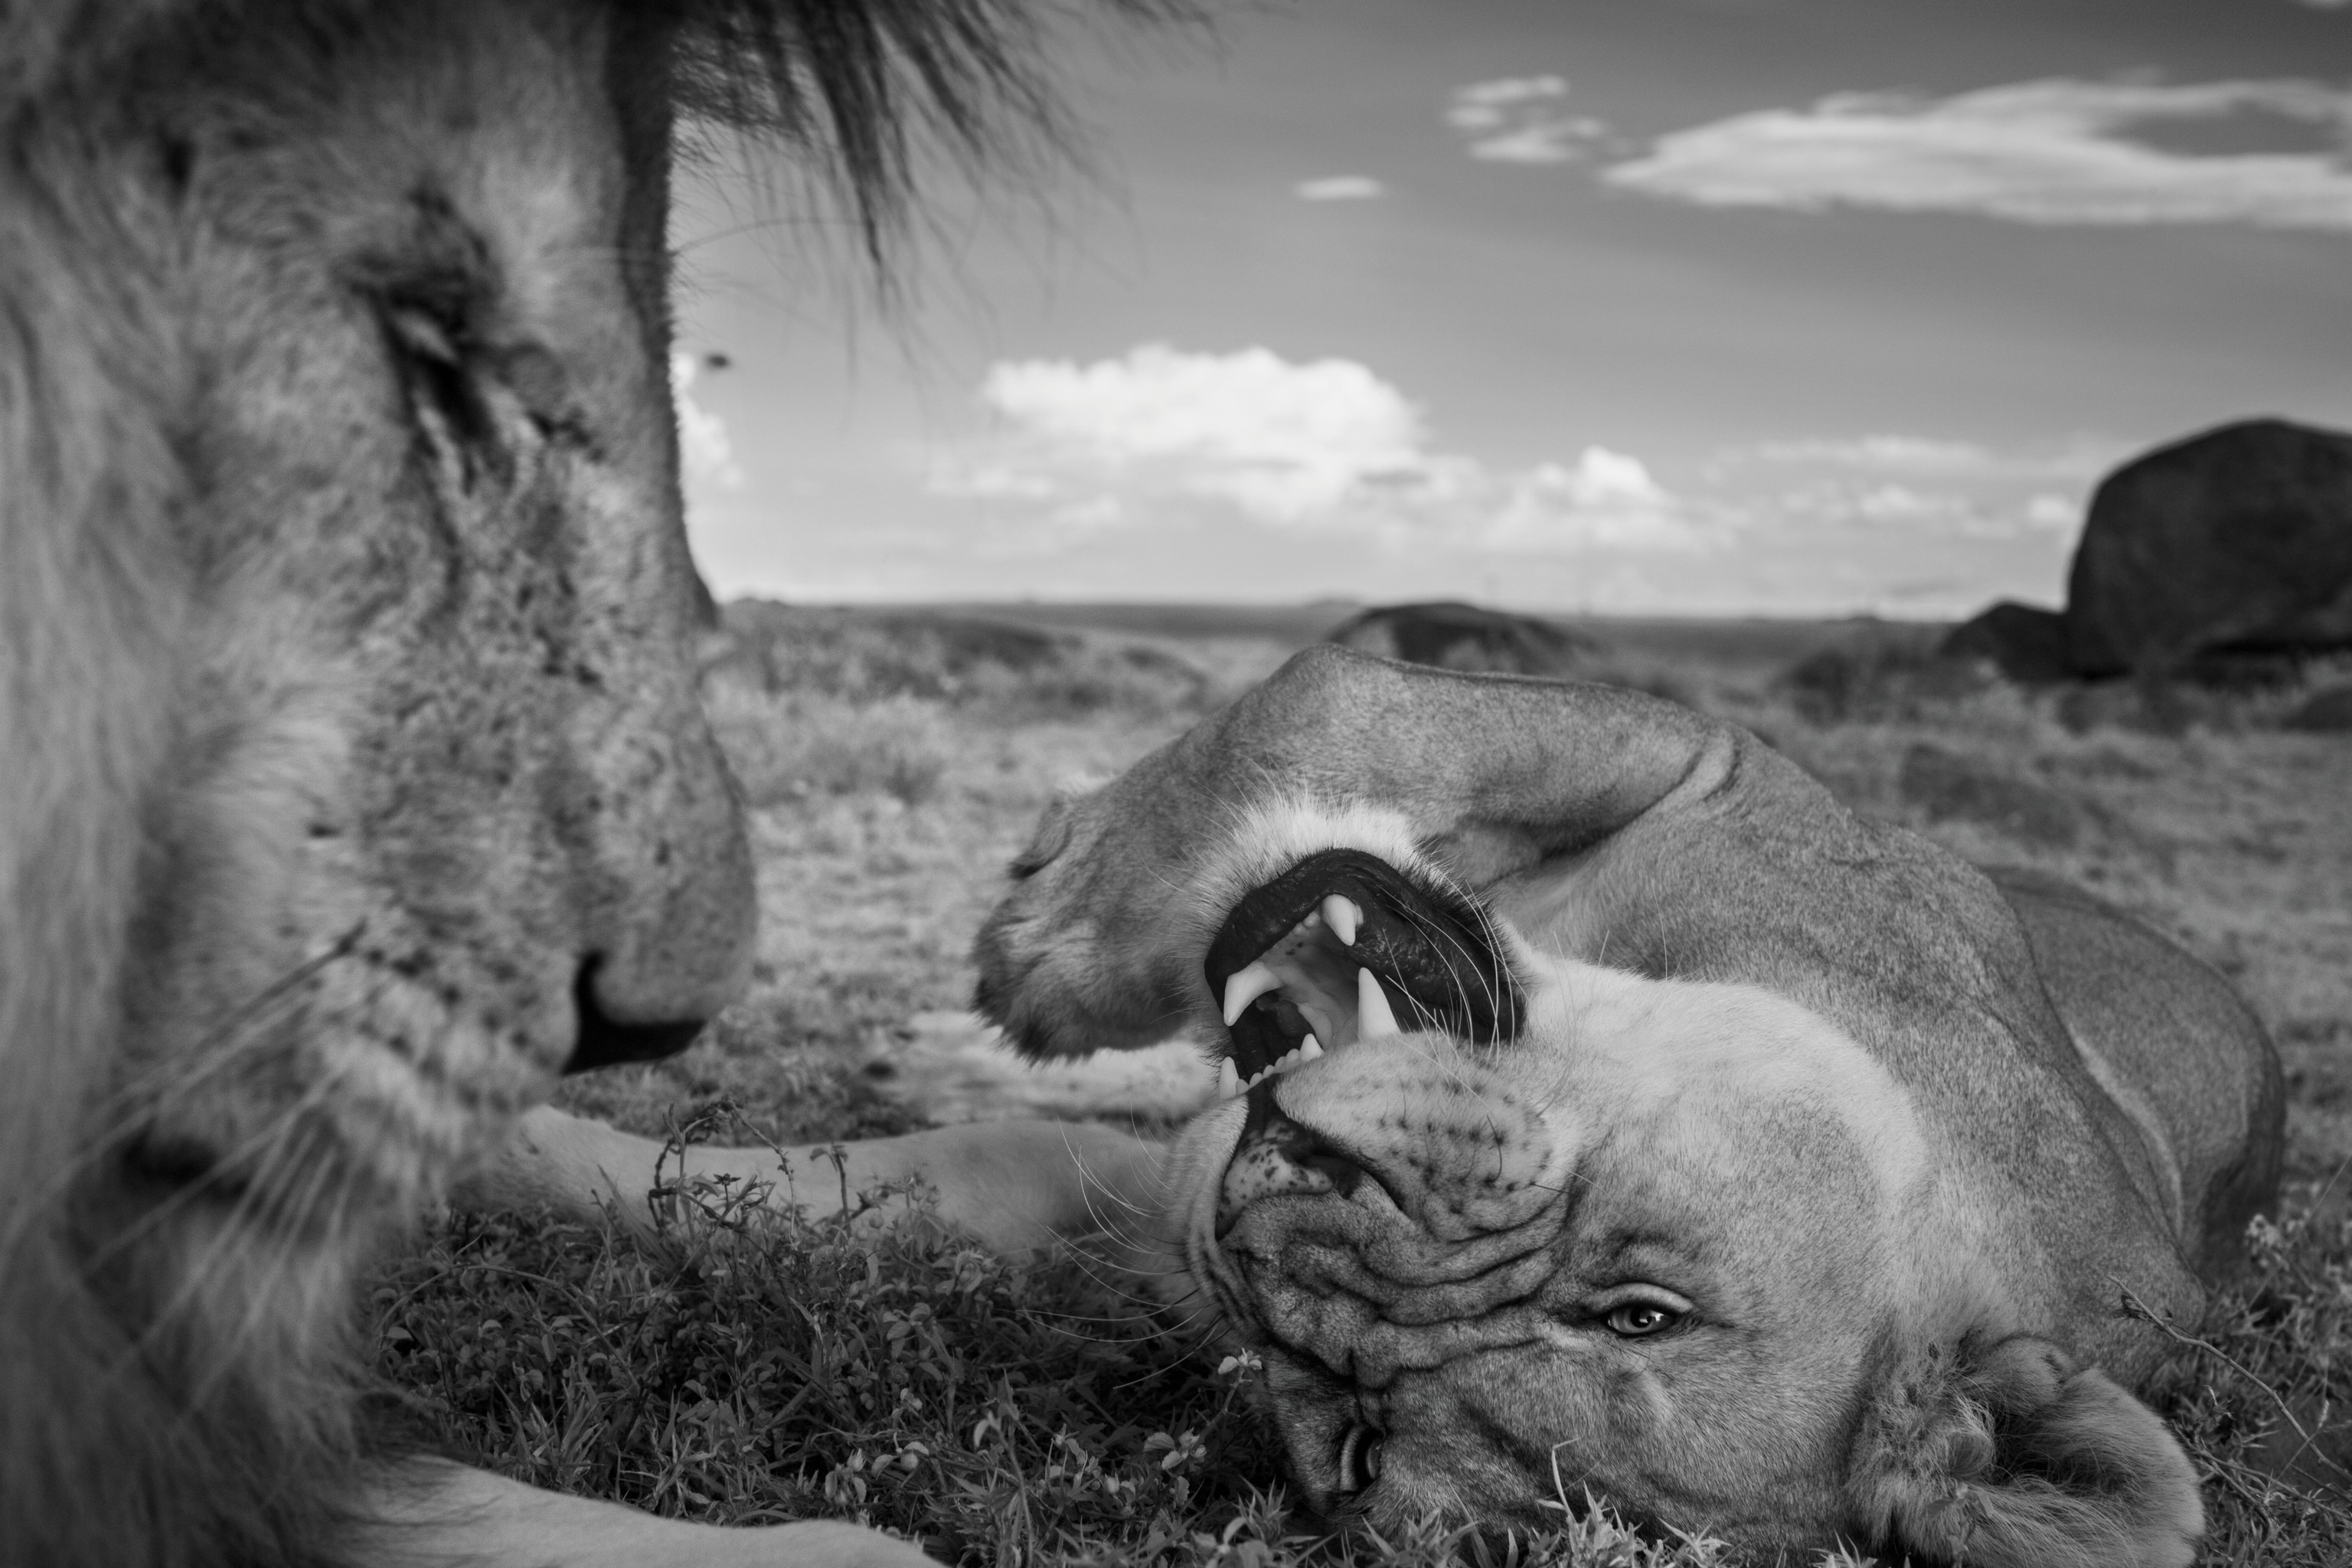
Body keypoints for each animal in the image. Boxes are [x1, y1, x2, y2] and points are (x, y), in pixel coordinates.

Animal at [955, 645, 2285, 1567]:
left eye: (1357, 1440)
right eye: (1644, 1310)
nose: (1271, 1182)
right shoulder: (1737, 771)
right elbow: (1338, 694)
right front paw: (1052, 943)